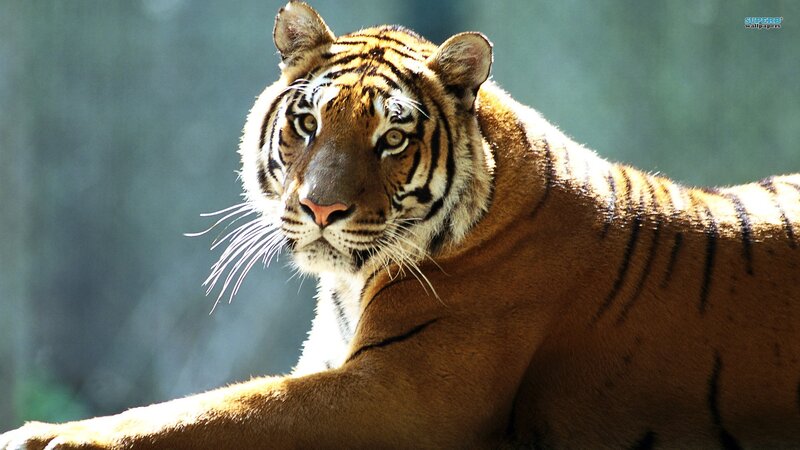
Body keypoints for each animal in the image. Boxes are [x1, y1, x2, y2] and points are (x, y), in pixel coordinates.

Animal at [2, 2, 800, 449]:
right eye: (307, 122)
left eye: (391, 138)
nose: (322, 209)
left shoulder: (401, 392)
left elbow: (216, 412)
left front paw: (46, 437)